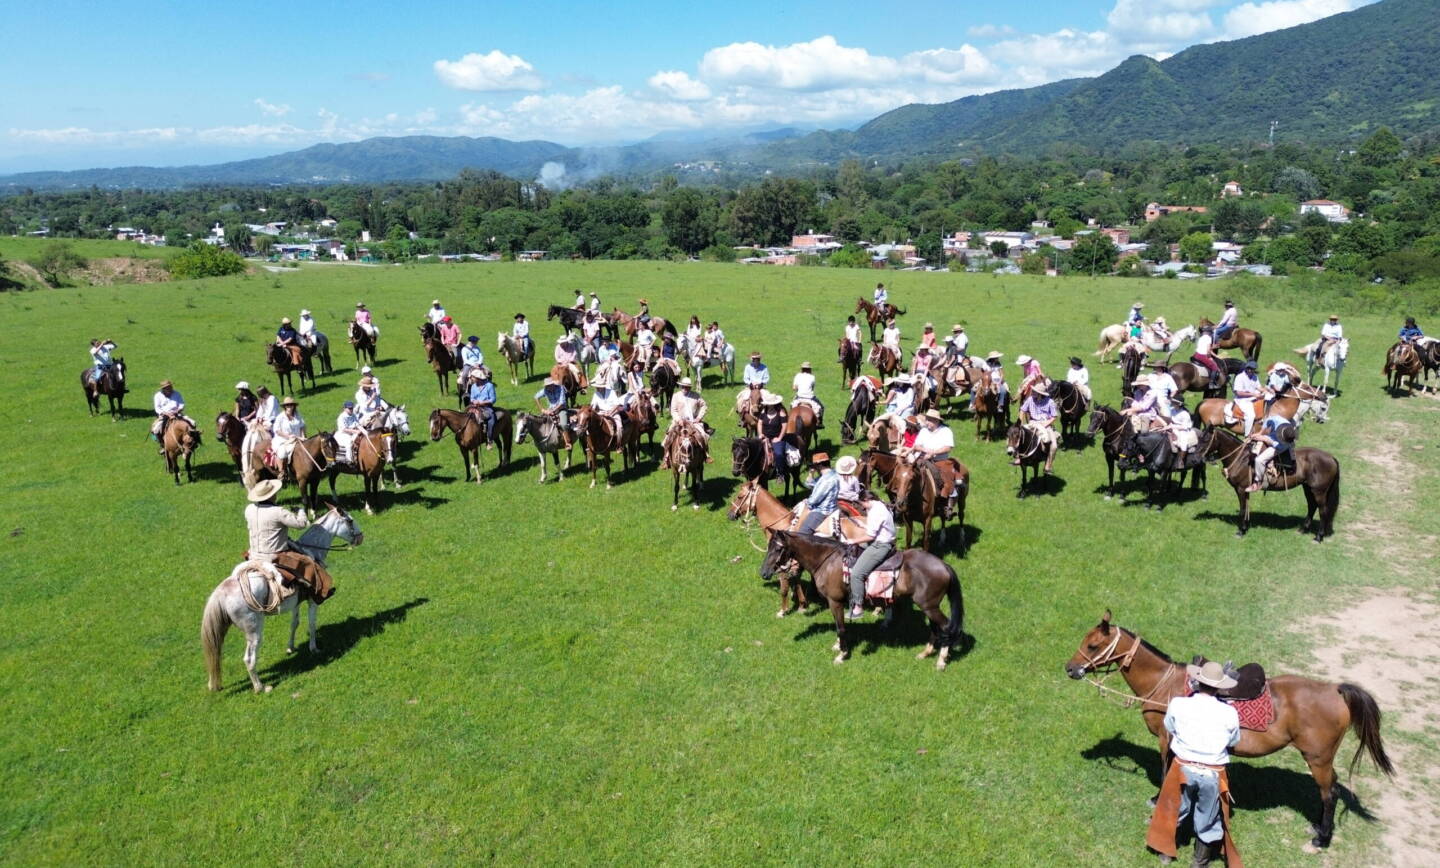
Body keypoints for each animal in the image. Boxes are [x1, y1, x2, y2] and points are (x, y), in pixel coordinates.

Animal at [200, 506, 362, 696]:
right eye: (350, 520)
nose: (361, 537)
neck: (313, 552)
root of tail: (222, 592)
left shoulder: (296, 603)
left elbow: (294, 623)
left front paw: (290, 648)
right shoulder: (313, 601)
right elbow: (311, 624)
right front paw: (314, 649)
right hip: (254, 631)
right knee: (249, 659)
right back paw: (261, 687)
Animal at [754, 529, 967, 665]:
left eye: (777, 549)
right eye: (769, 546)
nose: (764, 572)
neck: (827, 560)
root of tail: (943, 565)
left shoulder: (835, 602)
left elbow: (840, 628)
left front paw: (842, 655)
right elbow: (839, 626)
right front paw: (838, 646)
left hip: (929, 606)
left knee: (946, 626)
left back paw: (941, 660)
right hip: (928, 606)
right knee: (936, 627)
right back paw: (926, 653)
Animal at [1065, 616, 1388, 852]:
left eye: (1092, 645)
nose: (1070, 668)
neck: (1164, 685)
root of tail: (1335, 690)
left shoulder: (1167, 740)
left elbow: (1166, 770)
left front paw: (1158, 800)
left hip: (1317, 758)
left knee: (1329, 793)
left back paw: (1321, 838)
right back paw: (1319, 828)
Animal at [1192, 423, 1336, 541]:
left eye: (1206, 439)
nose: (1195, 459)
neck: (1241, 459)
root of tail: (1331, 458)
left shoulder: (1240, 489)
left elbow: (1243, 509)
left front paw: (1240, 531)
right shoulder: (1245, 490)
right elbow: (1246, 508)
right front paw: (1245, 528)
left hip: (1319, 491)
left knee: (1323, 511)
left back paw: (1318, 537)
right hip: (1308, 488)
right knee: (1312, 506)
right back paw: (1303, 529)